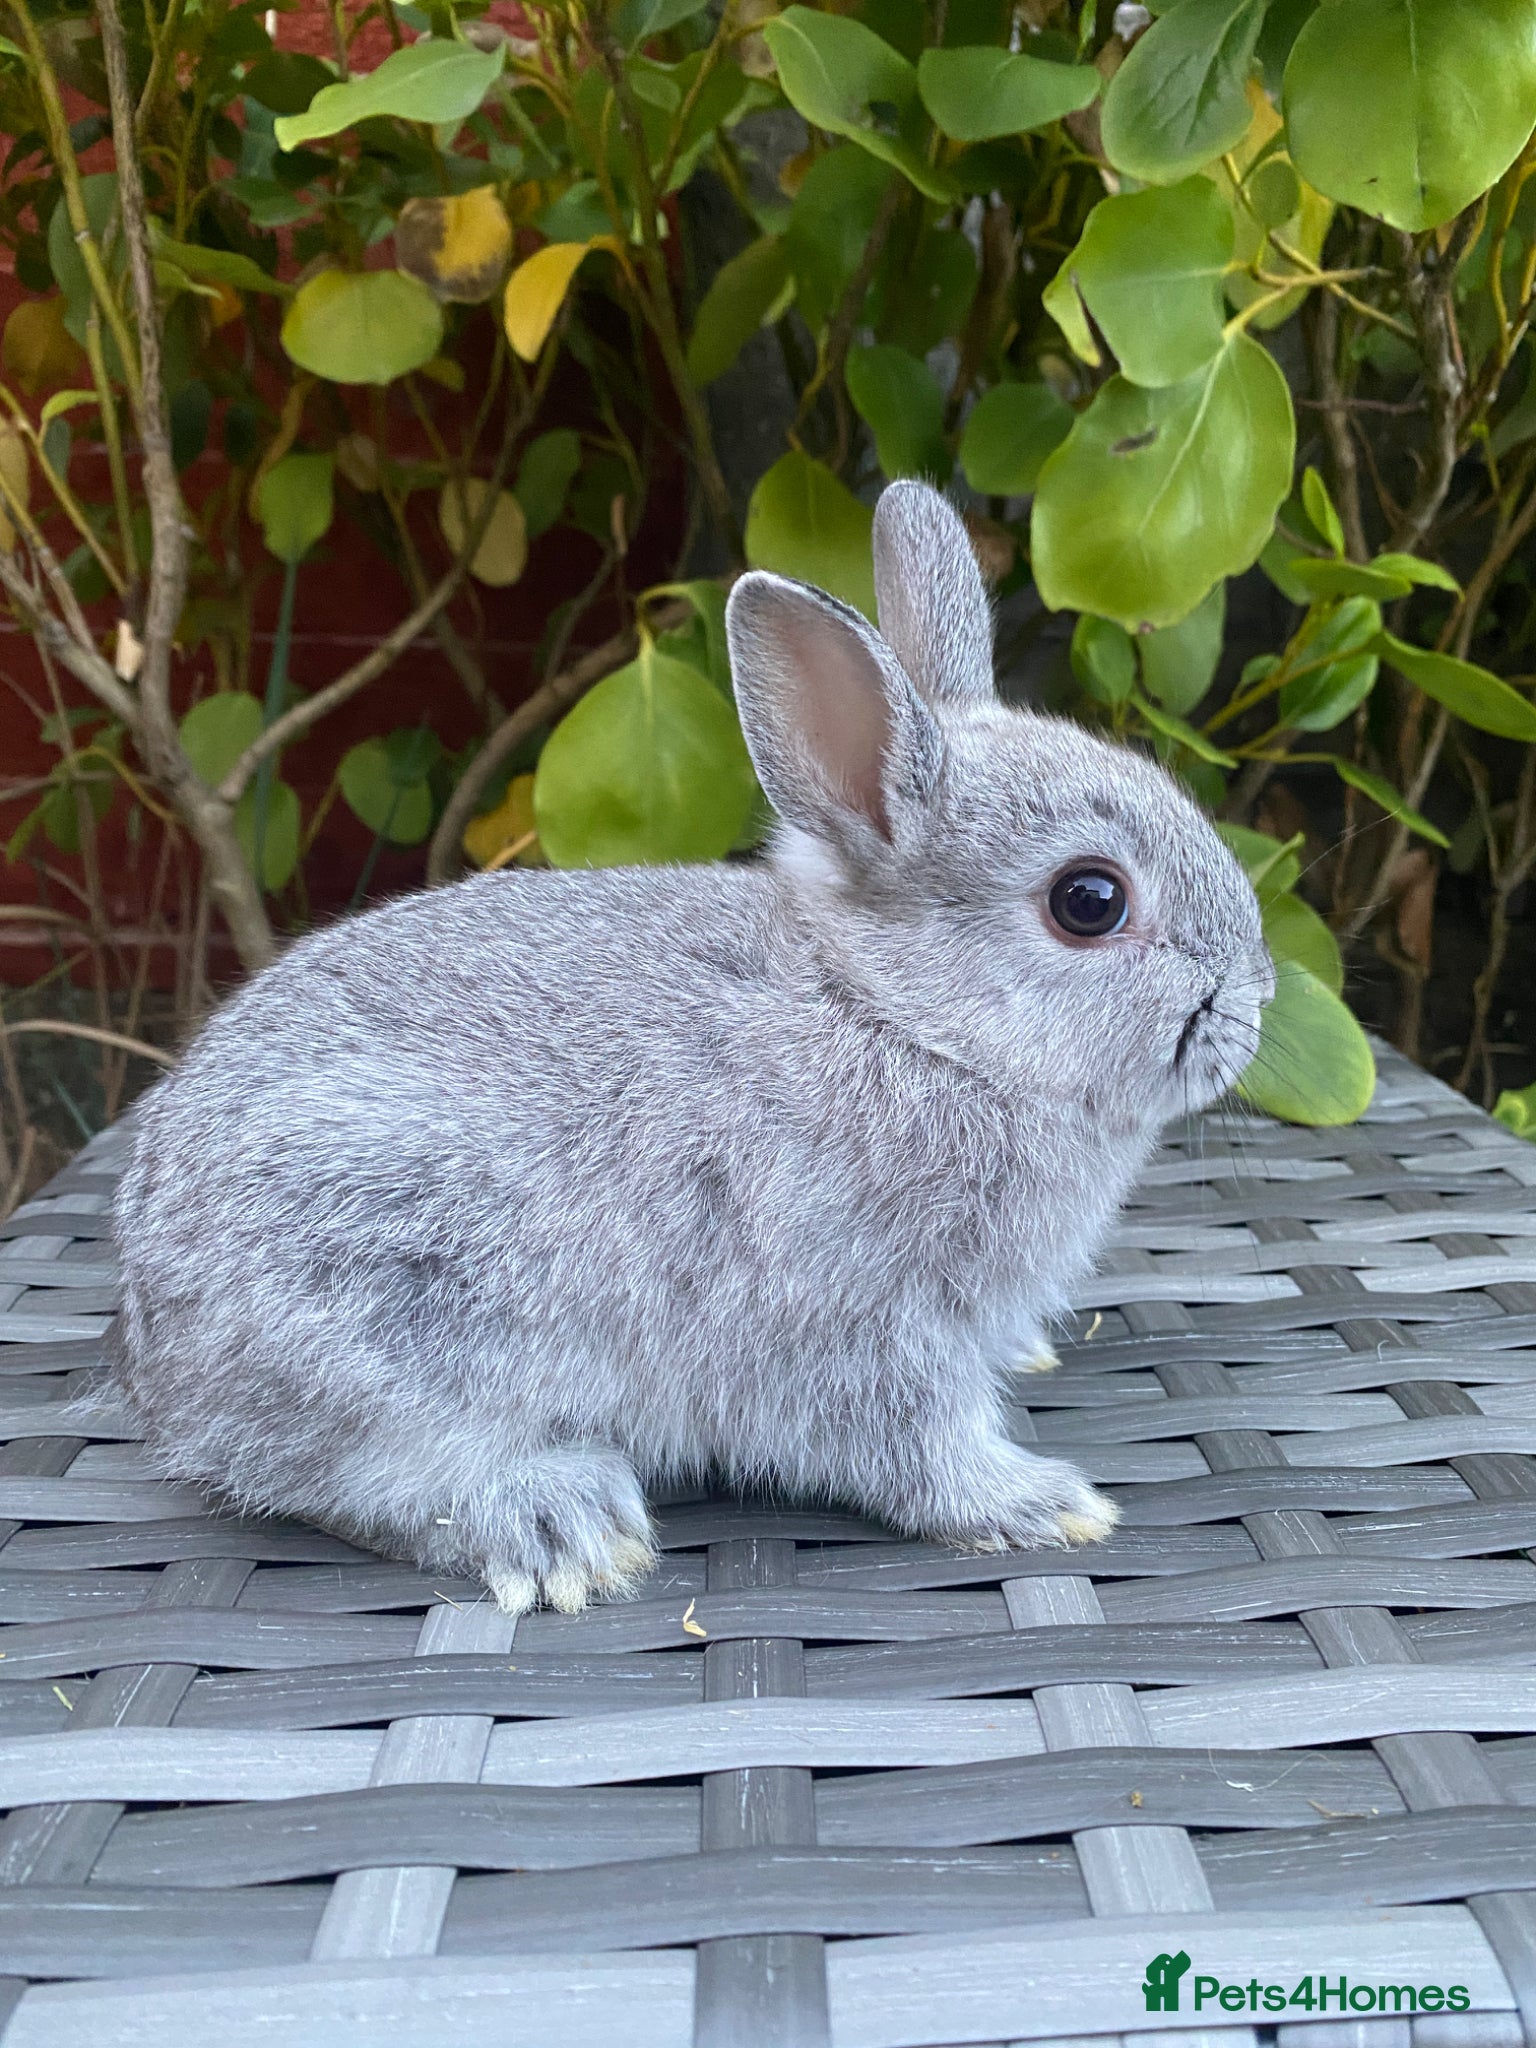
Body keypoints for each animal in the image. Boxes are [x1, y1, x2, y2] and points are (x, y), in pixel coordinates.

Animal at [107, 479, 1273, 1616]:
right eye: (1089, 900)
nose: (1254, 1004)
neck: (906, 1020)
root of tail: (160, 1359)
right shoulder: (861, 1323)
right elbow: (911, 1446)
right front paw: (1040, 1503)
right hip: (391, 1306)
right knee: (363, 1478)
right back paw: (566, 1526)